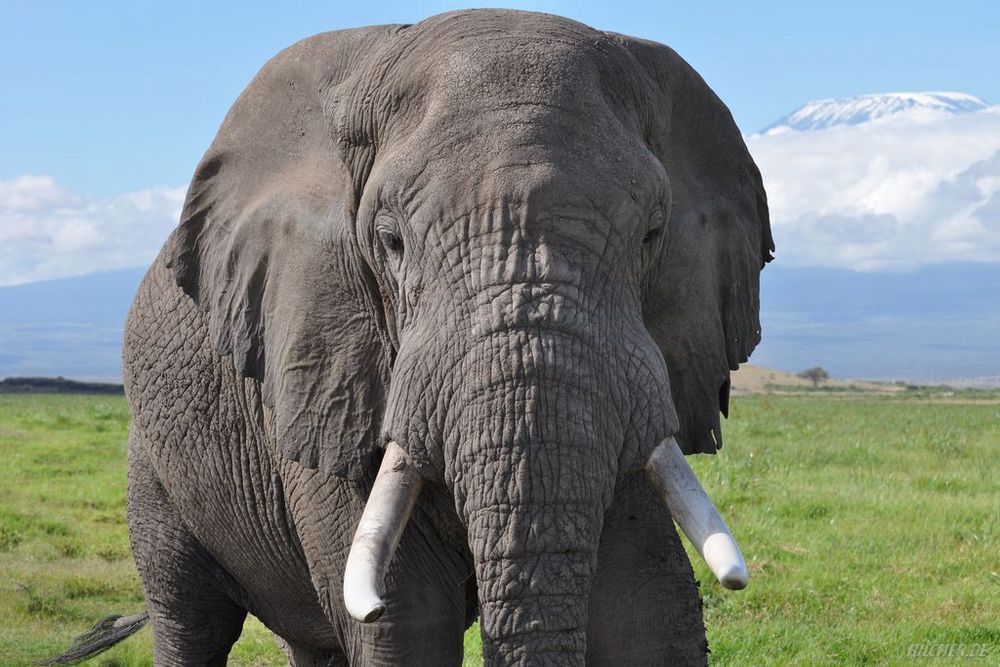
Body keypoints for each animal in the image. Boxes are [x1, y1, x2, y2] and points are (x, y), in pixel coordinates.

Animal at [50, 6, 776, 667]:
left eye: (652, 233)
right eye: (391, 241)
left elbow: (645, 610)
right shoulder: (322, 367)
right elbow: (405, 619)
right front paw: (389, 607)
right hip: (153, 464)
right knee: (191, 618)